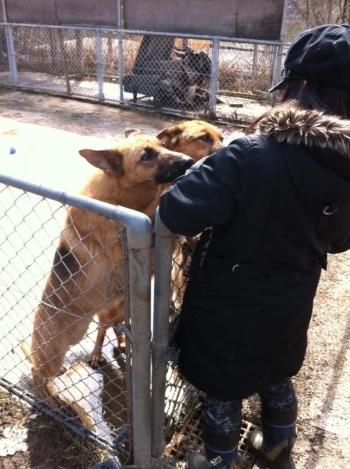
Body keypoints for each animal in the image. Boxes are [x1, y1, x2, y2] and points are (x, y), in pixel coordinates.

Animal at [26, 130, 193, 400]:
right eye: (147, 156)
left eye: (161, 145)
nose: (189, 162)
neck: (117, 193)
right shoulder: (128, 243)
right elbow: (155, 203)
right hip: (53, 352)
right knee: (37, 372)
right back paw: (46, 396)